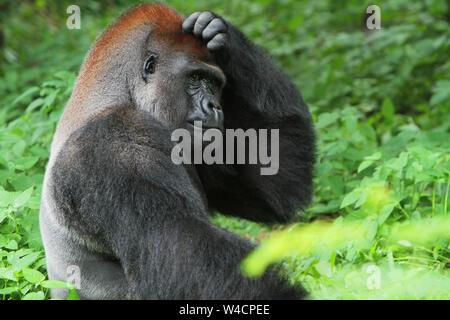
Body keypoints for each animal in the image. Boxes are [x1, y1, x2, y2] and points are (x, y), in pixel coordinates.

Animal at [39, 3, 316, 300]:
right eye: (195, 78)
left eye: (214, 83)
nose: (215, 106)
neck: (116, 94)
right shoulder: (117, 141)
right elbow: (182, 251)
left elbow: (273, 187)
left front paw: (221, 35)